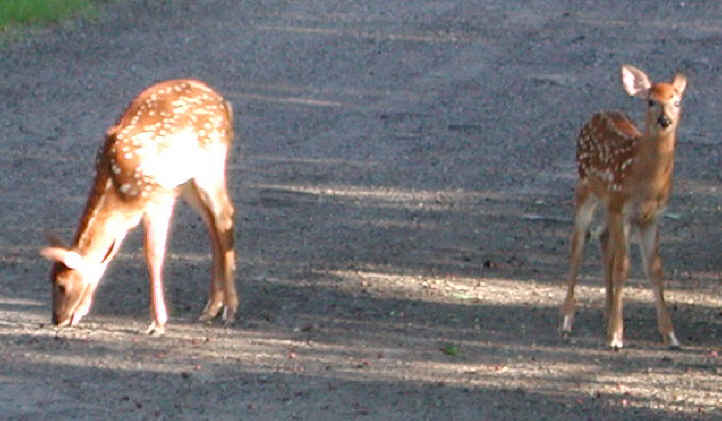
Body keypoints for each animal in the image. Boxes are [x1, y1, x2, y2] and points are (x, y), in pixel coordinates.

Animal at [40, 79, 239, 334]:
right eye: (50, 278)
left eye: (61, 285)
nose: (57, 319)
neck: (116, 189)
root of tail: (224, 104)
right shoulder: (127, 216)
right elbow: (108, 255)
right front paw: (81, 311)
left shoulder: (158, 199)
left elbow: (153, 254)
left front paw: (158, 323)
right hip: (187, 183)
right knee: (212, 224)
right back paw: (211, 307)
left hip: (210, 165)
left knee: (225, 217)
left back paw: (230, 309)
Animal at [560, 65, 687, 349]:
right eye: (651, 101)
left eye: (676, 101)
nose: (665, 121)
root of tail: (599, 113)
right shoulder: (623, 209)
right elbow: (623, 266)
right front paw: (617, 336)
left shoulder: (652, 216)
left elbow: (655, 269)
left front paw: (671, 335)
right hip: (587, 189)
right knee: (578, 245)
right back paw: (567, 321)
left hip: (609, 205)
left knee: (602, 236)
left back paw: (607, 315)